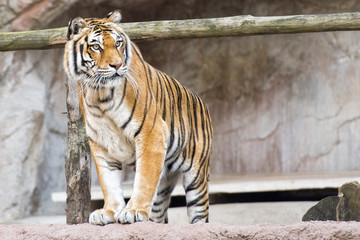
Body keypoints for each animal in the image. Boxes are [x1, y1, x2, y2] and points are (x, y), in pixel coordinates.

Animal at [63, 9, 212, 225]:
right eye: (96, 46)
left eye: (118, 43)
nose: (117, 65)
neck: (99, 95)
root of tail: (202, 102)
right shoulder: (100, 142)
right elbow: (108, 181)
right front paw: (109, 211)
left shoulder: (151, 132)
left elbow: (144, 180)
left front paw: (133, 211)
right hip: (164, 182)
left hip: (196, 177)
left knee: (199, 214)